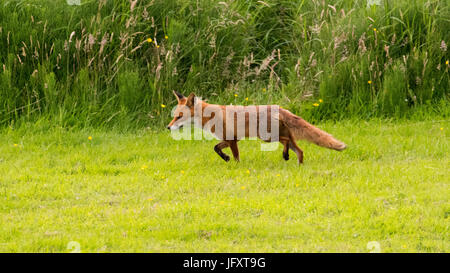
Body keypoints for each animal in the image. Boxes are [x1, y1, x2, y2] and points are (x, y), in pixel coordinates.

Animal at [167, 91, 346, 164]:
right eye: (174, 115)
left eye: (179, 116)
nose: (168, 128)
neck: (209, 116)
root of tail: (280, 108)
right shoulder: (230, 139)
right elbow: (216, 148)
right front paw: (226, 158)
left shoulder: (232, 140)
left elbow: (235, 156)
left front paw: (235, 164)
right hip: (278, 137)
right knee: (300, 151)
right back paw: (298, 165)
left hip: (267, 137)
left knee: (286, 141)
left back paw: (285, 155)